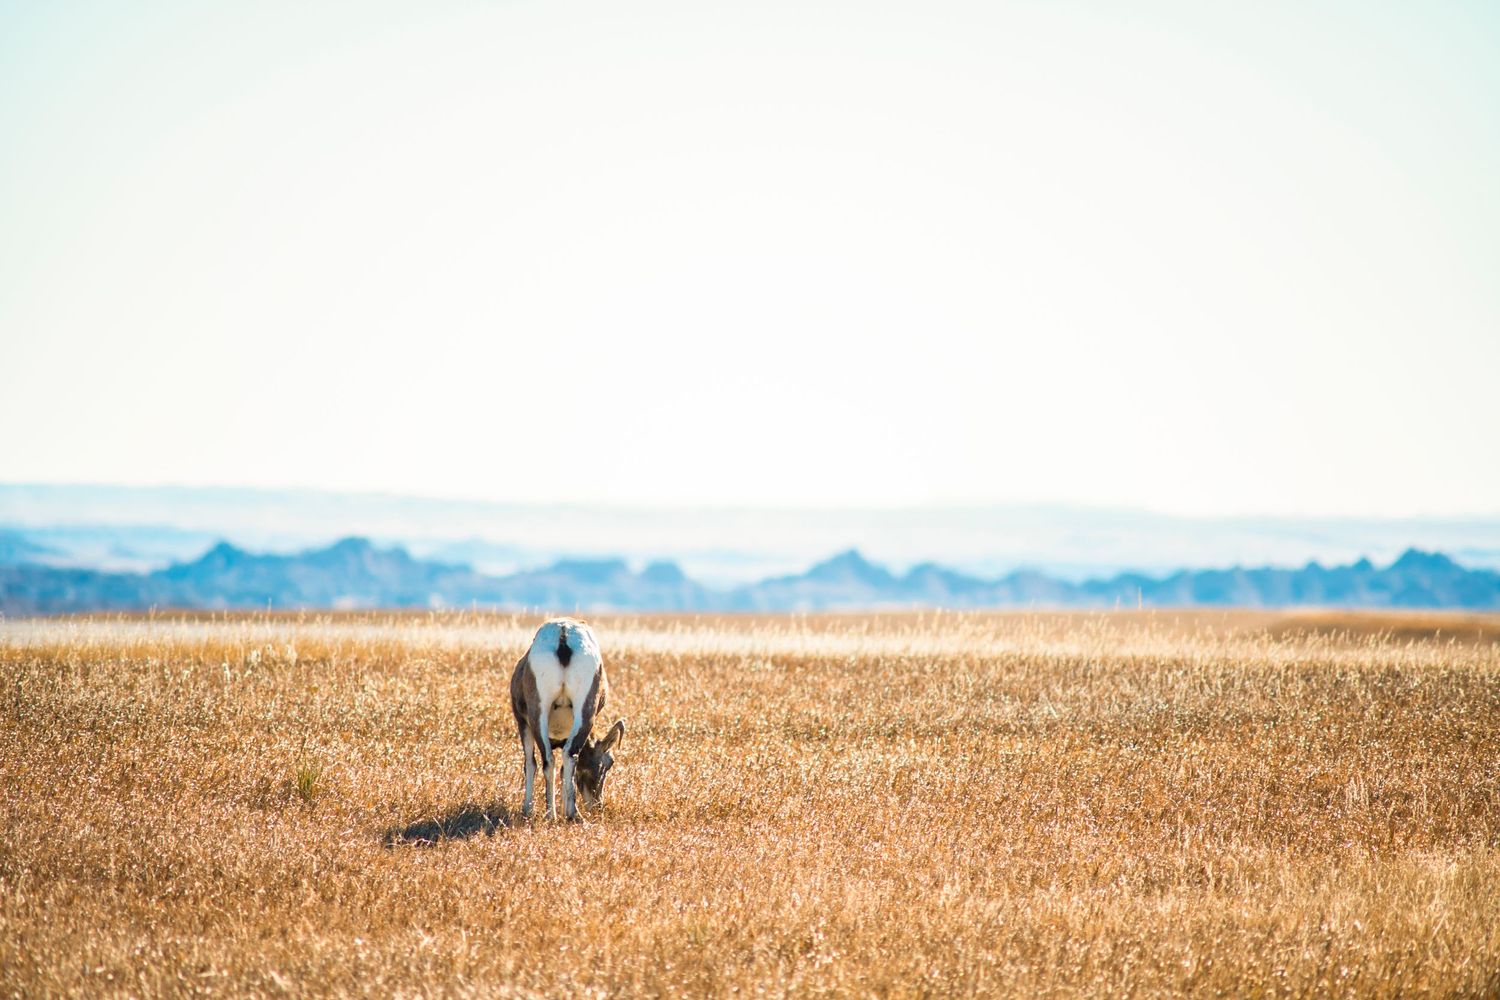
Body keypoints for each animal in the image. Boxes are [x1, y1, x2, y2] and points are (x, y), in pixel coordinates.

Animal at [509, 618, 624, 822]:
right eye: (610, 762)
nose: (597, 806)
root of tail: (564, 633)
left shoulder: (525, 723)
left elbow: (531, 764)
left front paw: (528, 809)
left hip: (539, 714)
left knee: (551, 759)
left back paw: (555, 814)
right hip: (583, 713)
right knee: (567, 757)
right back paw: (571, 814)